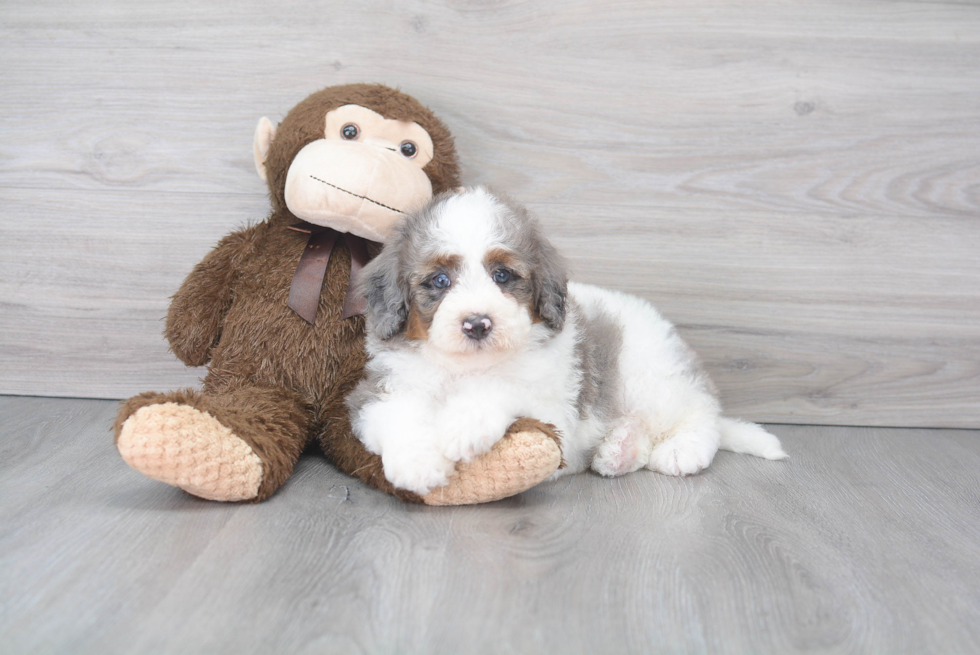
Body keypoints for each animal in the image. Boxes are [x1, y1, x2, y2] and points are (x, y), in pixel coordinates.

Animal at [348, 187, 784, 494]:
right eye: (440, 280)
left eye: (502, 276)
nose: (477, 324)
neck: (466, 367)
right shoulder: (376, 391)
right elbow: (398, 413)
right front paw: (418, 464)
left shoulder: (554, 408)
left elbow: (502, 386)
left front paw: (463, 425)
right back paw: (620, 450)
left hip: (650, 376)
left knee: (702, 412)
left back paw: (682, 450)